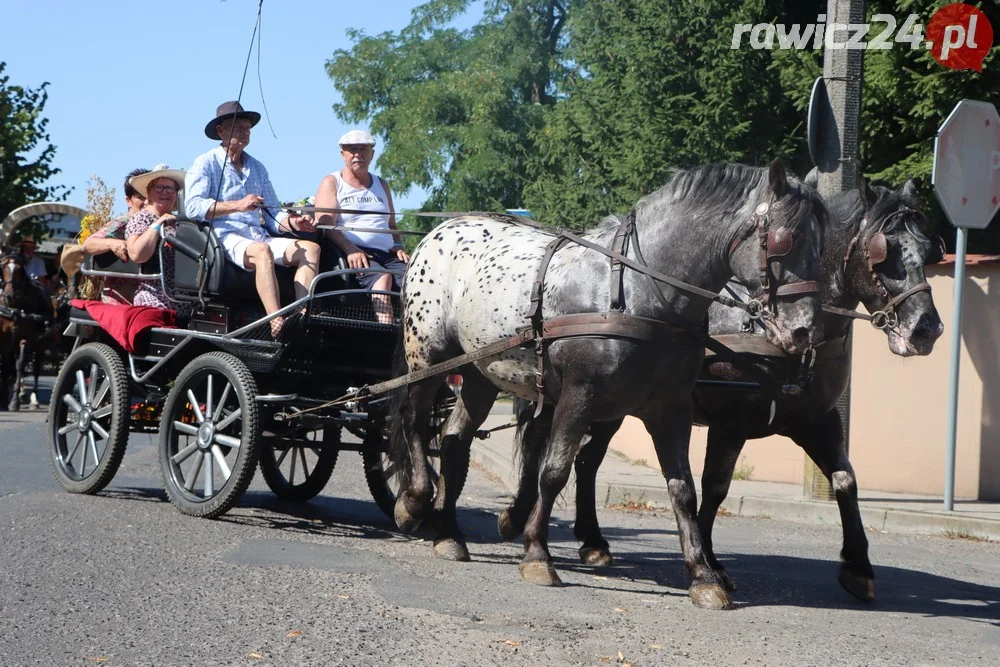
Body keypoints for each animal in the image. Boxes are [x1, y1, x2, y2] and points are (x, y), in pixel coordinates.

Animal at [0, 250, 51, 410]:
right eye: (3, 266)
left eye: (18, 269)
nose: (9, 295)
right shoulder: (5, 338)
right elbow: (6, 364)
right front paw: (5, 399)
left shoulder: (26, 338)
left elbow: (20, 365)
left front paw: (14, 401)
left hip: (41, 342)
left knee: (35, 368)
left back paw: (34, 399)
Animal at [386, 162, 824, 612]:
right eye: (784, 241)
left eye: (822, 245)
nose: (806, 331)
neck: (636, 292)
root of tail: (439, 231)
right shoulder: (579, 397)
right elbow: (554, 472)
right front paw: (537, 555)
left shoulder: (670, 409)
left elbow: (682, 488)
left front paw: (703, 575)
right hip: (430, 358)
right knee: (413, 420)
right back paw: (414, 501)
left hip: (478, 375)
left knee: (454, 439)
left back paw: (448, 534)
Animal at [508, 176, 944, 604]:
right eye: (881, 252)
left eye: (928, 250)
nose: (927, 329)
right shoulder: (730, 422)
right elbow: (714, 487)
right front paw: (711, 563)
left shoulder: (816, 419)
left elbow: (845, 480)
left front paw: (858, 567)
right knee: (547, 446)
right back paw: (523, 520)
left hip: (611, 405)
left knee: (585, 460)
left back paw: (591, 540)